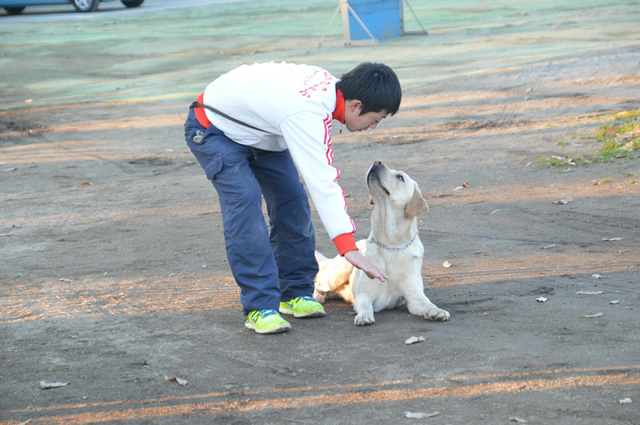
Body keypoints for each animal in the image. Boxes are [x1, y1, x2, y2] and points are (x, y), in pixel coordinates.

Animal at [316, 161, 450, 326]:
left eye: (400, 177)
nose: (377, 162)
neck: (391, 244)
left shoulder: (414, 296)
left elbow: (427, 303)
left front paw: (437, 311)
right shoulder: (364, 294)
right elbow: (365, 306)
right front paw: (364, 316)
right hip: (336, 274)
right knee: (318, 282)